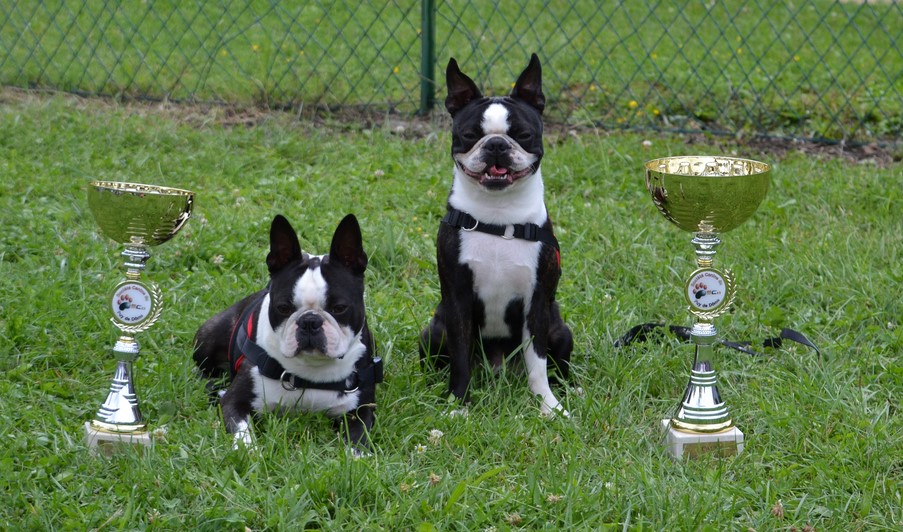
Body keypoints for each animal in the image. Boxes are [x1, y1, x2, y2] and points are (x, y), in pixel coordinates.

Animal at [193, 214, 381, 452]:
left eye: (339, 308)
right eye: (283, 308)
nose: (309, 321)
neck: (311, 372)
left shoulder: (361, 409)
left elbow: (357, 439)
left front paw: (355, 456)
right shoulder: (234, 402)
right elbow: (242, 433)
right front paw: (250, 453)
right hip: (207, 338)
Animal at [419, 53, 573, 416]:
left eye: (524, 134)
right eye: (469, 134)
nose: (497, 145)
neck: (498, 216)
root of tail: (498, 366)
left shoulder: (536, 303)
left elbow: (538, 362)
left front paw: (548, 407)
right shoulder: (457, 300)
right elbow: (460, 358)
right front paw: (458, 404)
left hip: (561, 327)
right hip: (432, 330)